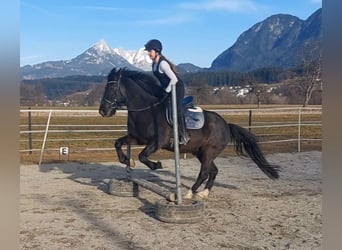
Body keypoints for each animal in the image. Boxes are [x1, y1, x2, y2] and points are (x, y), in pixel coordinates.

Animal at [98, 68, 278, 199]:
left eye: (111, 87)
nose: (103, 111)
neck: (147, 110)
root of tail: (226, 124)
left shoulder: (158, 142)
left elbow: (143, 156)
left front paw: (156, 165)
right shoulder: (137, 138)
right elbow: (118, 143)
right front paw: (128, 161)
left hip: (209, 151)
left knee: (204, 172)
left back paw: (189, 193)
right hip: (200, 152)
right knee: (213, 171)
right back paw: (204, 193)